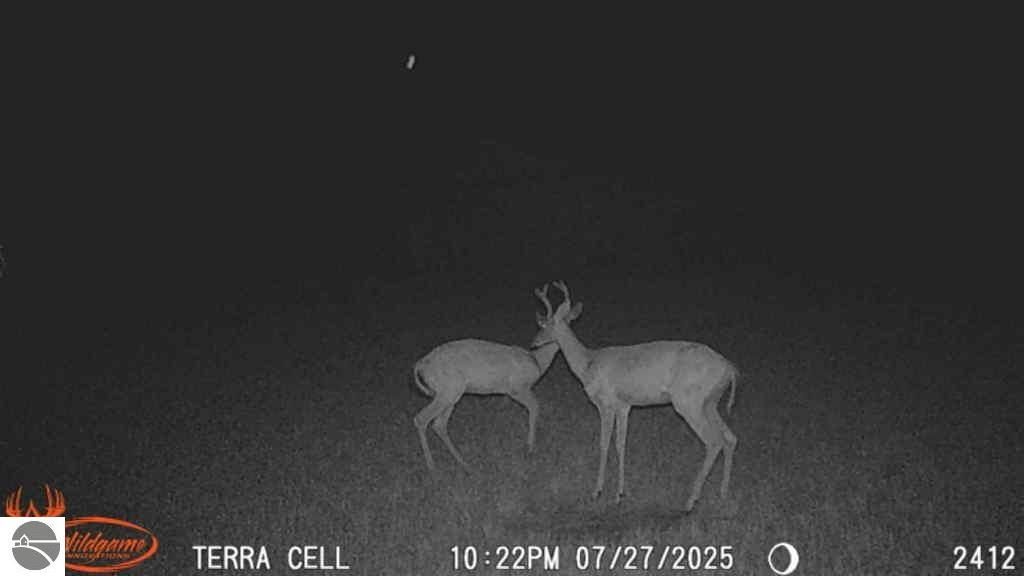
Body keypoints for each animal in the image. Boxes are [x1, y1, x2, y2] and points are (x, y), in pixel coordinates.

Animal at [412, 285, 560, 471]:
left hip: (450, 394)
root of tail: (420, 365)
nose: (536, 342)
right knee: (421, 419)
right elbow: (535, 407)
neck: (537, 361)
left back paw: (463, 462)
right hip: (447, 392)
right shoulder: (517, 388)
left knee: (438, 424)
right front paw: (530, 448)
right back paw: (432, 466)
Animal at [532, 281, 739, 512]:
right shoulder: (624, 405)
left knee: (714, 441)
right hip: (710, 403)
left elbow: (604, 443)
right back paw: (722, 493)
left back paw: (690, 501)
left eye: (545, 324)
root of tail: (730, 369)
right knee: (730, 438)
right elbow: (621, 444)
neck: (587, 365)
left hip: (689, 402)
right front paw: (619, 494)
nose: (533, 342)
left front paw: (597, 492)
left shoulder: (606, 403)